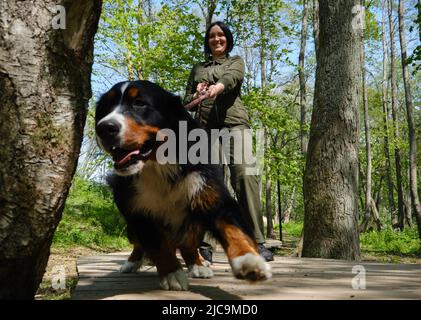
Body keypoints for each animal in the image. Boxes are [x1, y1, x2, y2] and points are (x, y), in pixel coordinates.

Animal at [94, 79, 270, 290]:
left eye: (139, 103)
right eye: (107, 107)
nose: (103, 128)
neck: (160, 167)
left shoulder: (212, 196)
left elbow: (234, 230)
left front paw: (249, 261)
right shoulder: (137, 210)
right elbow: (158, 245)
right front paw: (172, 273)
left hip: (194, 222)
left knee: (188, 245)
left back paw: (198, 265)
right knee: (140, 245)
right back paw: (132, 263)